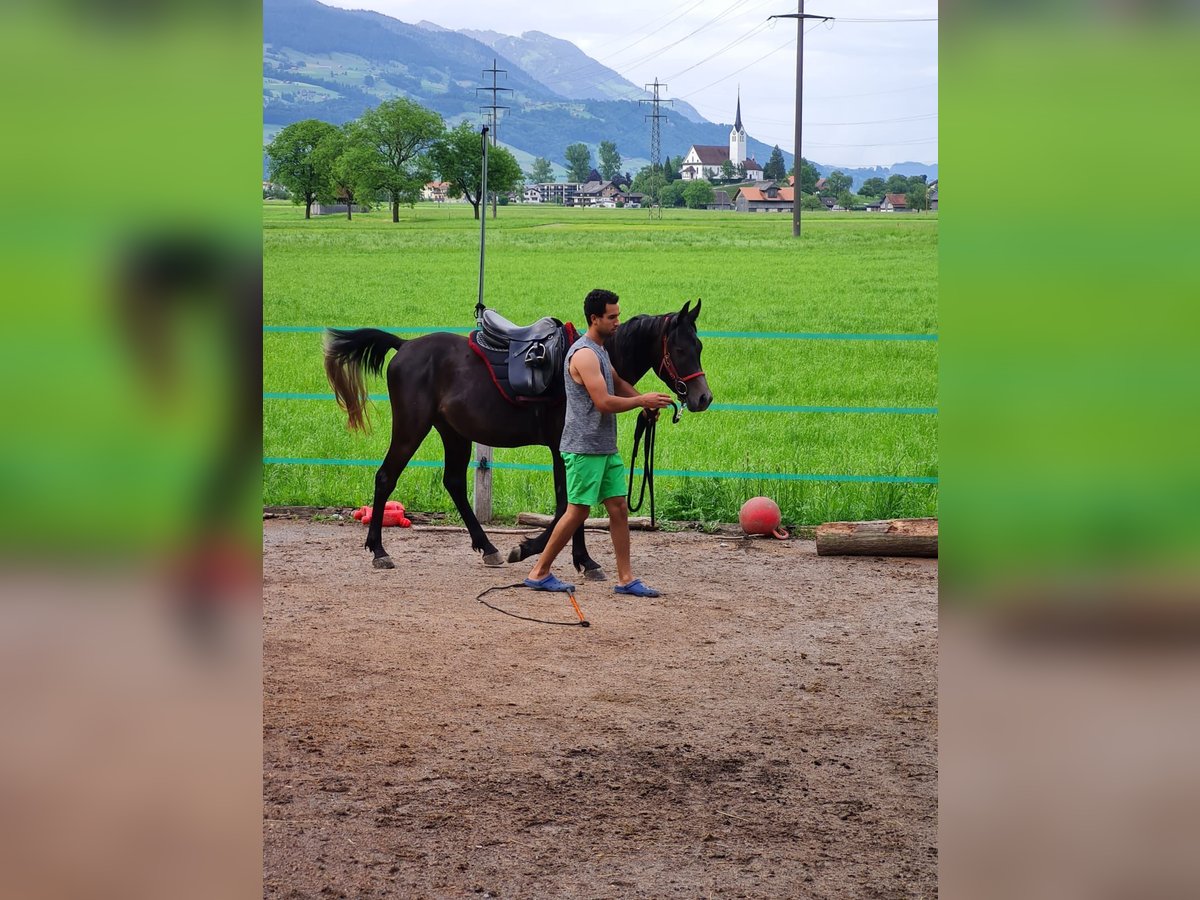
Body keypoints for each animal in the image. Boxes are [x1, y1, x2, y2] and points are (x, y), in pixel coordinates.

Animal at [321, 301, 710, 571]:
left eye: (700, 346)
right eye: (679, 349)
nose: (703, 397)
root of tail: (404, 347)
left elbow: (571, 506)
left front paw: (573, 558)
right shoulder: (561, 448)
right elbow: (566, 505)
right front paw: (540, 551)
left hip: (454, 432)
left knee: (453, 483)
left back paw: (488, 548)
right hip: (411, 427)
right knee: (386, 477)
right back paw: (379, 551)